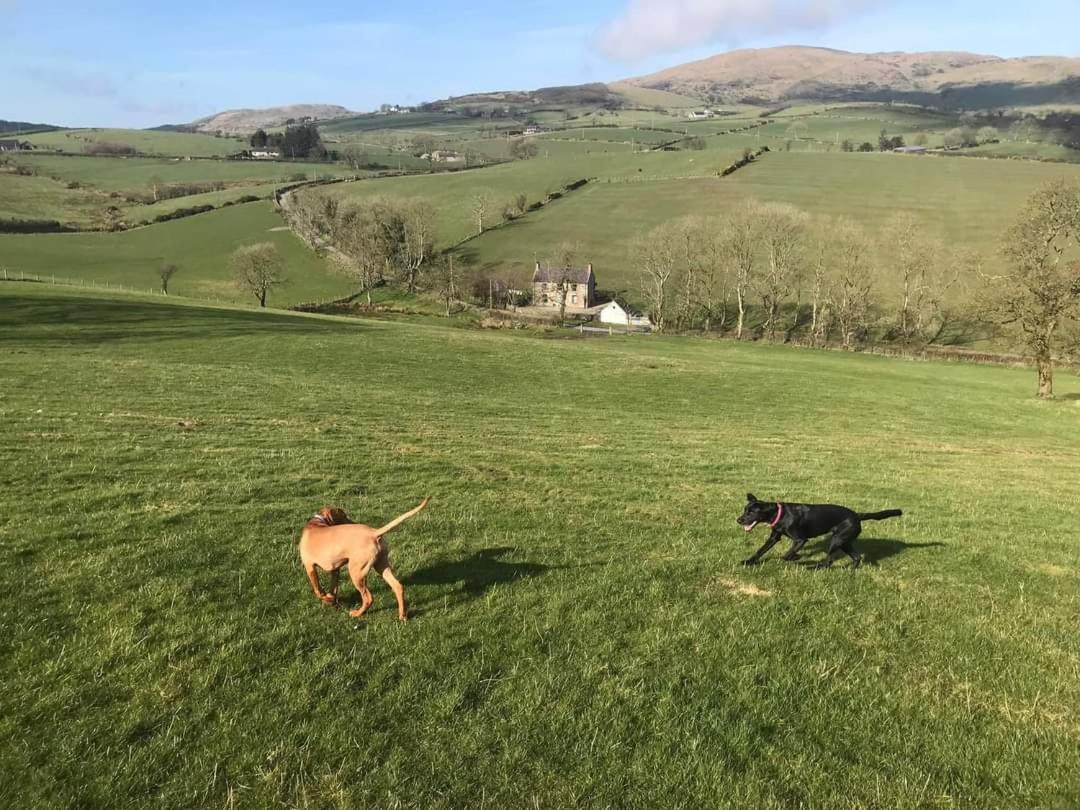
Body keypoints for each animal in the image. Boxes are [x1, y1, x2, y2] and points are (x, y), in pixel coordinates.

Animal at [300, 501, 429, 622]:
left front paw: (327, 599)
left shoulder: (309, 566)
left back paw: (357, 613)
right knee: (398, 587)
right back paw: (402, 615)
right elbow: (333, 588)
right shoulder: (335, 569)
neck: (317, 522)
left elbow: (318, 590)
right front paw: (331, 600)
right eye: (344, 516)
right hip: (381, 565)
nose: (353, 522)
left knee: (368, 598)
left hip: (356, 572)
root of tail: (374, 532)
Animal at [734, 492, 902, 565]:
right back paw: (851, 571)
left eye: (752, 512)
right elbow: (761, 550)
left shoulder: (801, 540)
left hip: (837, 540)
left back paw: (810, 566)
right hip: (845, 541)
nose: (739, 519)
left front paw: (796, 558)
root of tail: (857, 515)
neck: (781, 514)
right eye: (745, 510)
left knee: (828, 561)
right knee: (856, 557)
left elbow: (787, 555)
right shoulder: (774, 536)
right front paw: (748, 562)